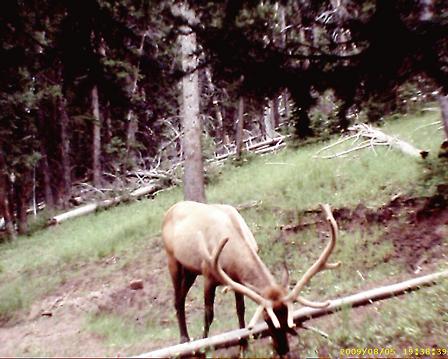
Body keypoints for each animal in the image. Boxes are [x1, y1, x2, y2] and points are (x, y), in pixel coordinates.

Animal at [162, 201, 340, 356]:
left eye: (287, 316)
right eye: (266, 319)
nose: (283, 349)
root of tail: (171, 209)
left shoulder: (237, 280)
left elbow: (240, 310)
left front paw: (244, 345)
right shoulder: (209, 274)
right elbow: (208, 314)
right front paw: (203, 347)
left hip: (190, 270)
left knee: (181, 297)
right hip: (173, 261)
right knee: (178, 299)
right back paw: (184, 339)